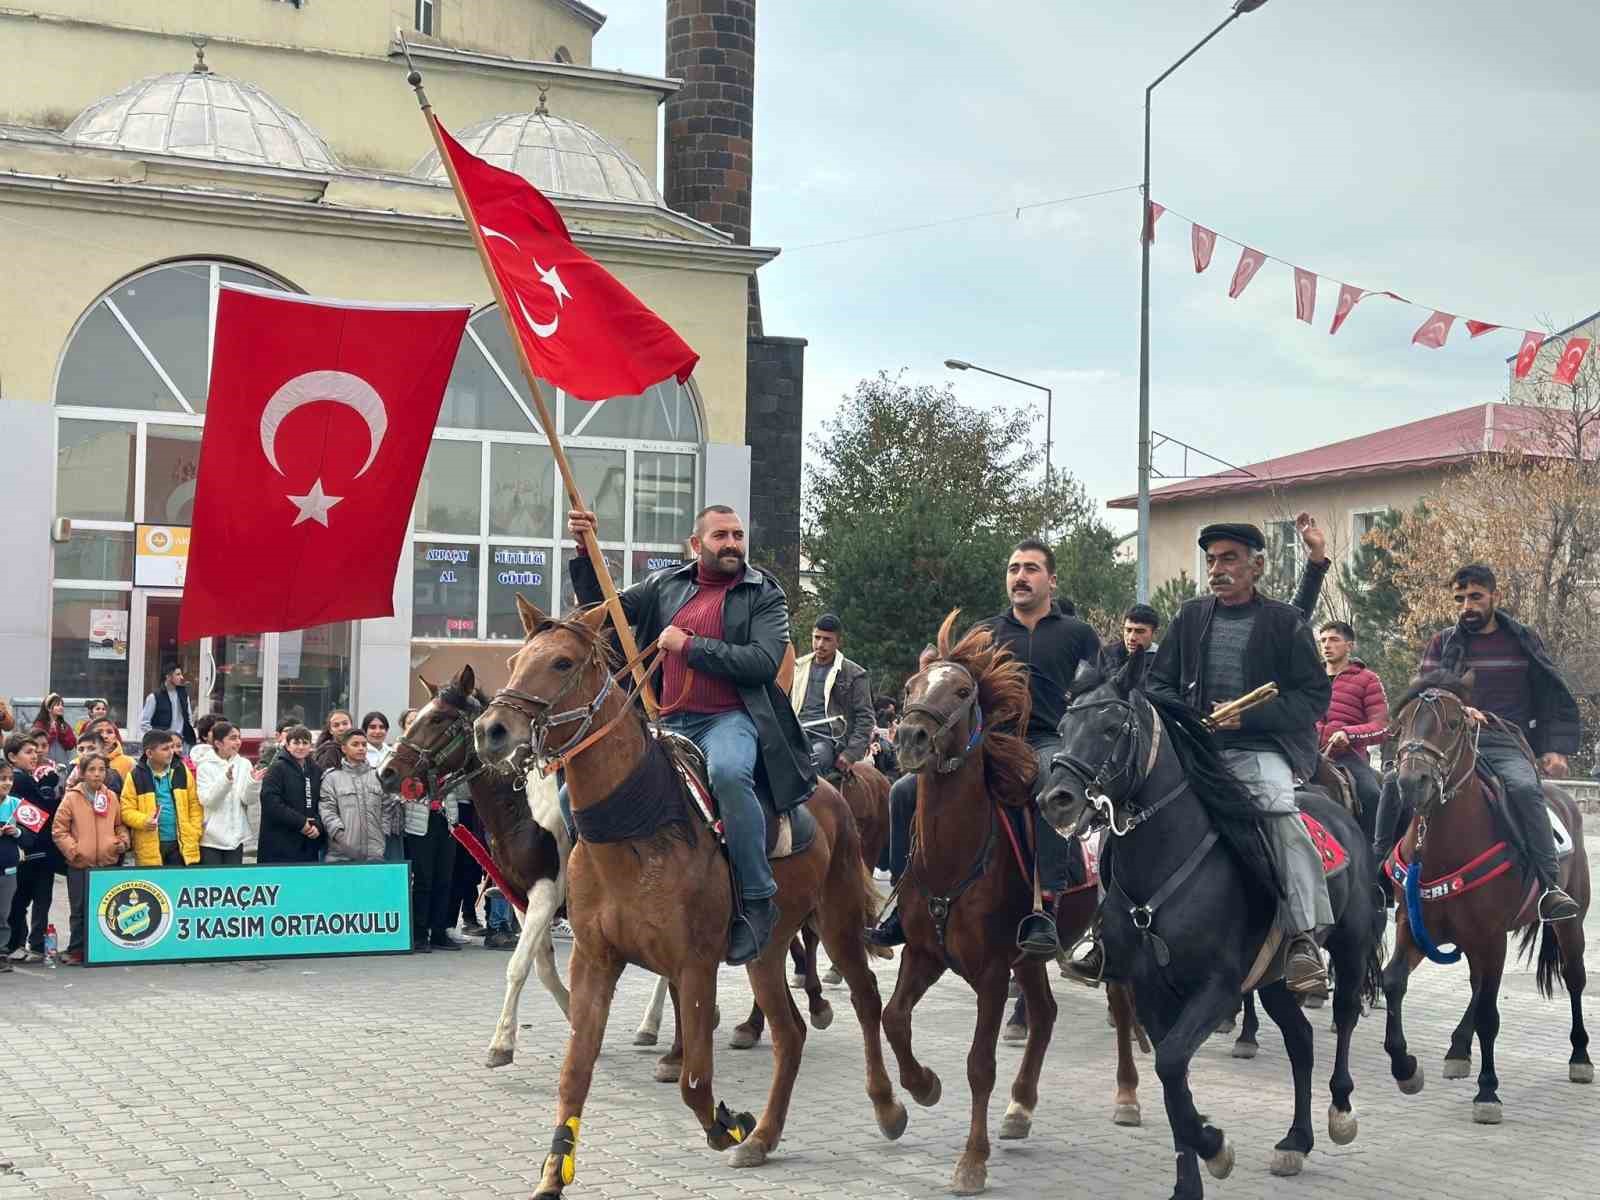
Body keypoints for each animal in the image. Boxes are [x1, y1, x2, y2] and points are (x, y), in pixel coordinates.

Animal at [467, 601, 908, 1200]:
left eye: (561, 663)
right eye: (514, 661)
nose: (490, 729)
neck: (638, 829)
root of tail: (830, 789)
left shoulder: (694, 966)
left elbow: (696, 1083)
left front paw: (726, 1123)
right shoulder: (595, 959)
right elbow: (575, 1072)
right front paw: (554, 1171)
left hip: (836, 921)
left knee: (864, 1000)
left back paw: (890, 1105)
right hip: (766, 951)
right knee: (789, 1033)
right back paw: (763, 1138)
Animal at [883, 614, 1145, 1196]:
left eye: (962, 691)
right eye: (912, 687)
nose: (910, 737)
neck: (955, 855)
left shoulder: (989, 972)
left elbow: (980, 1064)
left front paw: (971, 1161)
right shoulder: (923, 954)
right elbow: (893, 1020)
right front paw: (922, 1086)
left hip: (1107, 939)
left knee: (1120, 1008)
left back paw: (1127, 1096)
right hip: (1028, 957)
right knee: (1045, 1014)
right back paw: (1020, 1108)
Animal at [1043, 659, 1382, 1200]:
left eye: (1112, 727)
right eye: (1063, 727)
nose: (1056, 799)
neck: (1166, 866)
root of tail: (1342, 815)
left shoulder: (1218, 989)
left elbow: (1170, 1065)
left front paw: (1214, 1145)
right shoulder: (1150, 991)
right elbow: (1170, 1077)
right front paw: (1193, 1171)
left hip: (1349, 946)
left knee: (1346, 1014)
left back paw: (1341, 1112)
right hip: (1274, 979)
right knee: (1301, 1040)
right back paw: (1295, 1141)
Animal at [1382, 672, 1593, 1126]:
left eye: (1452, 724)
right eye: (1402, 723)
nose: (1412, 782)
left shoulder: (1491, 938)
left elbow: (1490, 1016)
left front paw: (1488, 1092)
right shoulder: (1414, 927)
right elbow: (1393, 982)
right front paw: (1405, 1068)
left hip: (1569, 924)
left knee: (1574, 979)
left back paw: (1581, 1056)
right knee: (1478, 988)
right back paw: (1459, 1049)